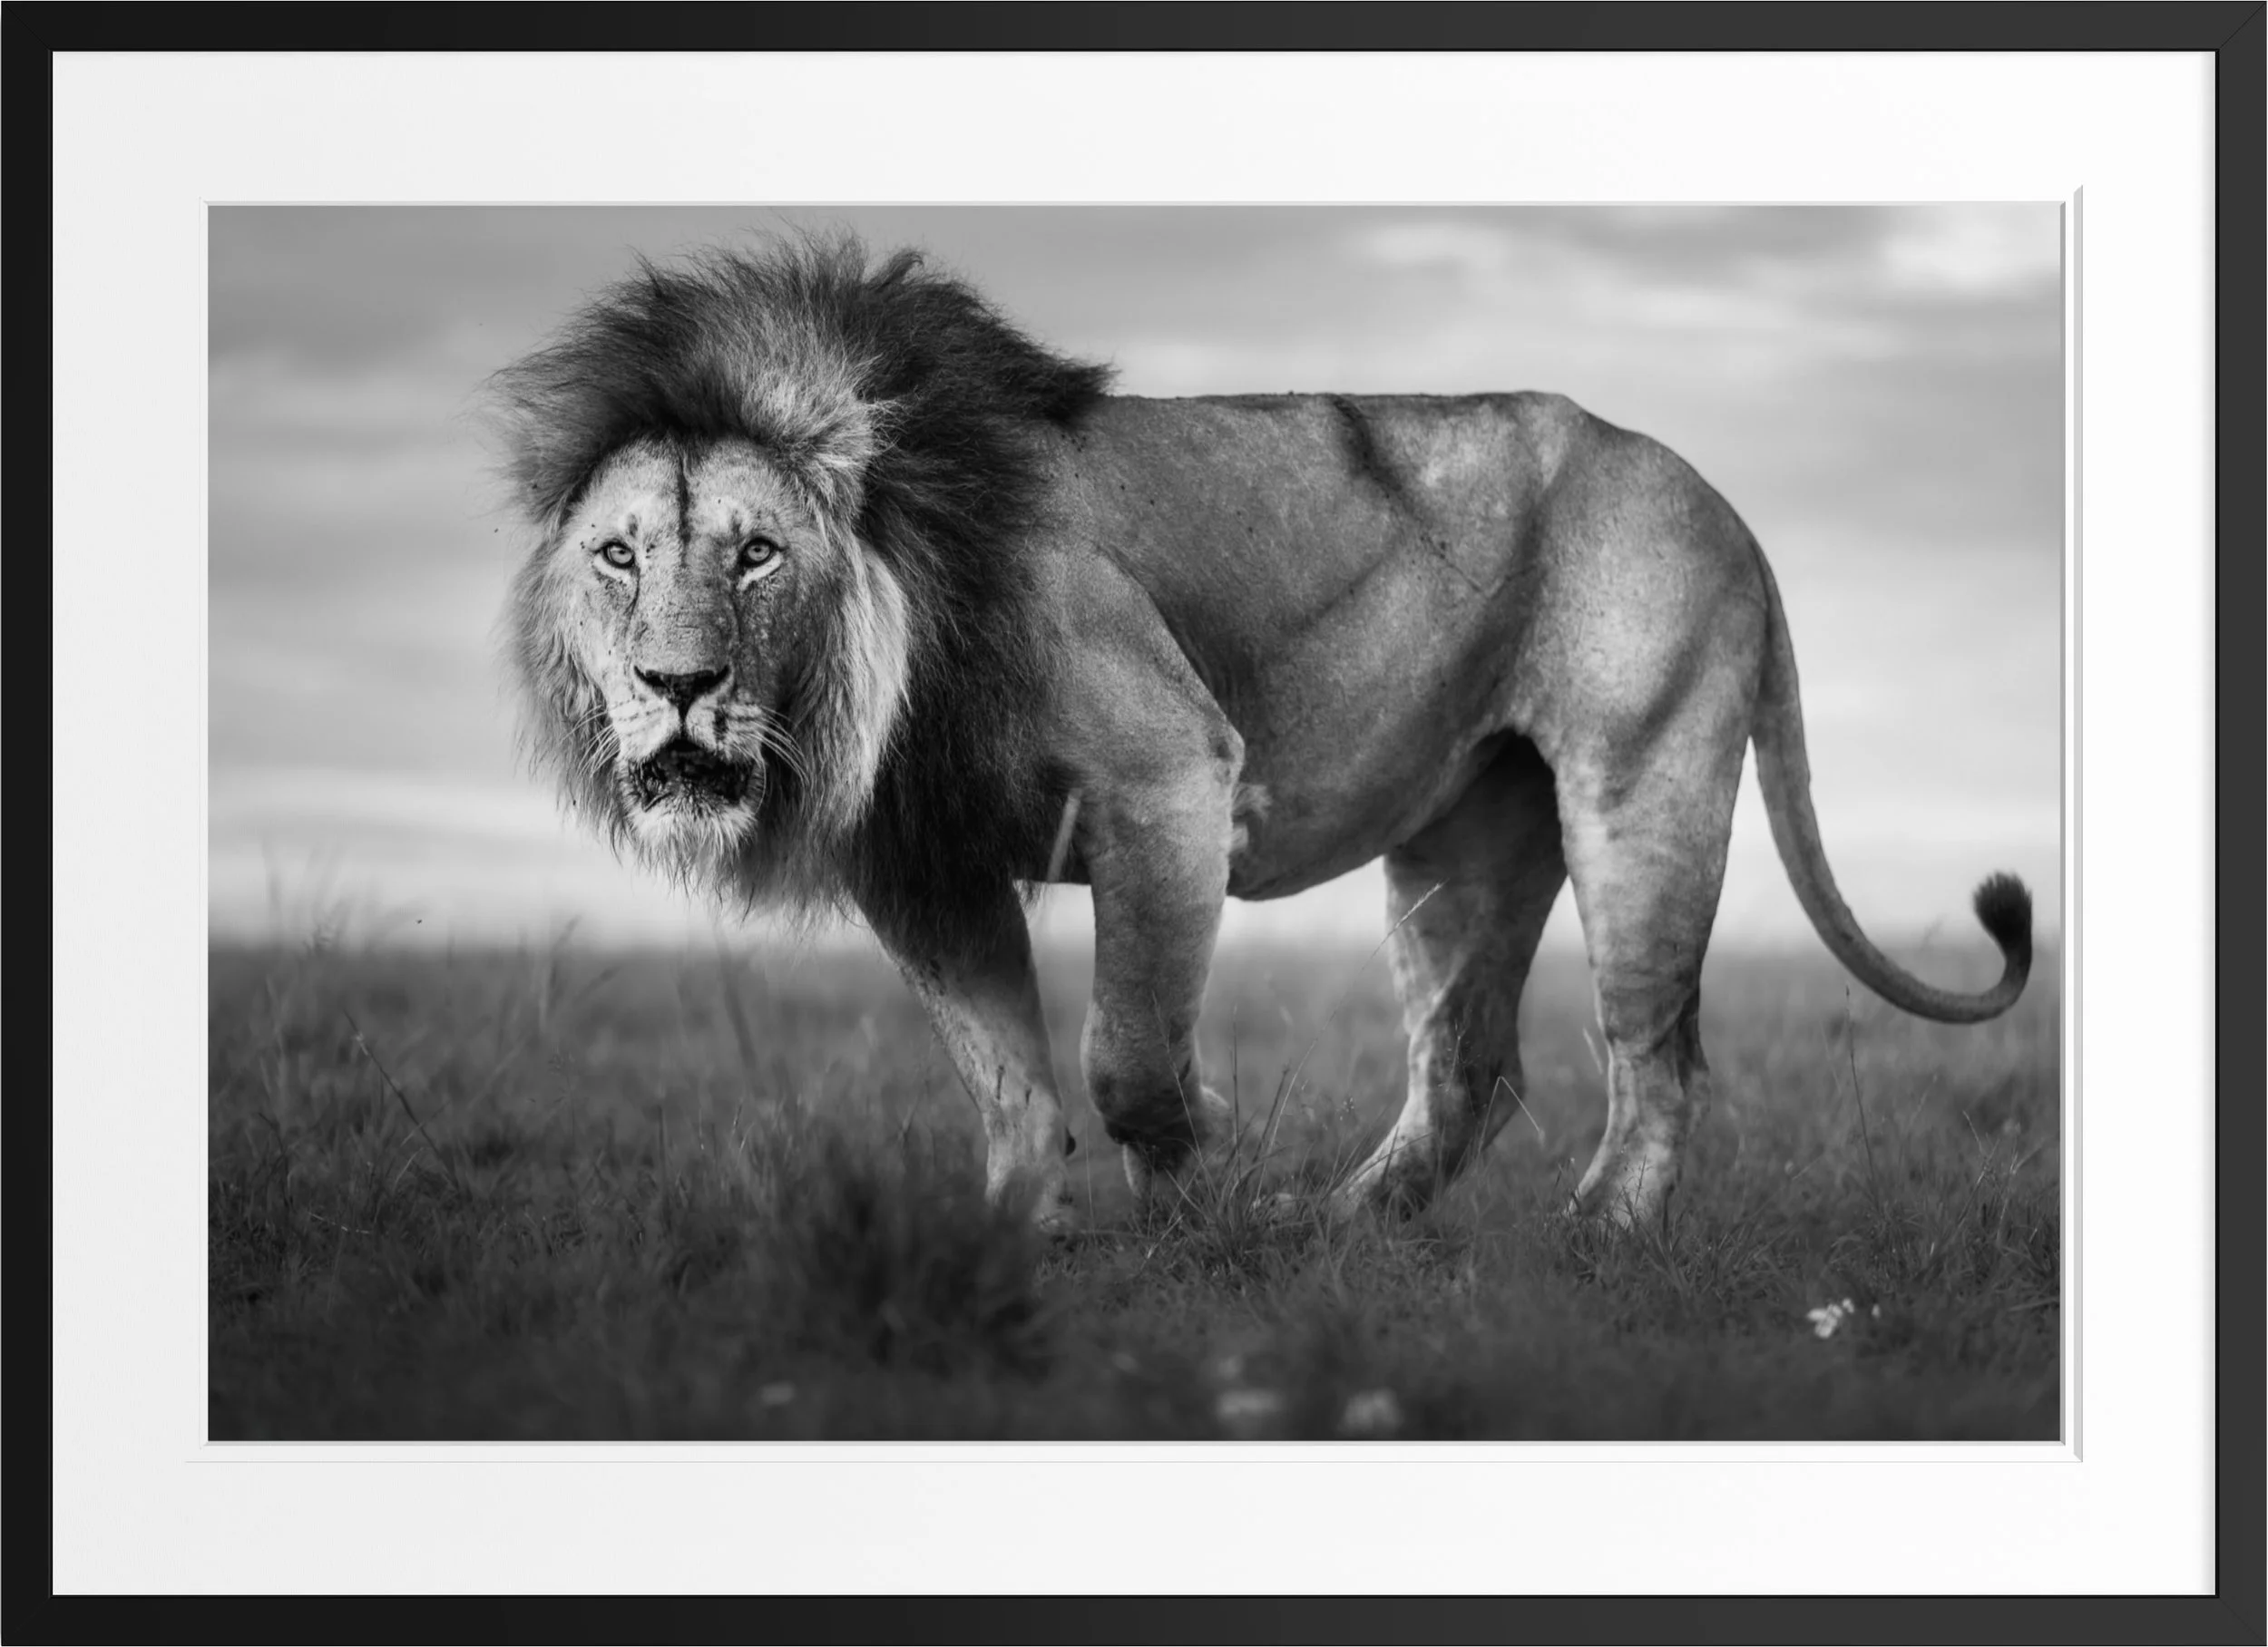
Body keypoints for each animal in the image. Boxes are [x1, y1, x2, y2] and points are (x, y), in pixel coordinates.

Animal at [489, 234, 2032, 1236]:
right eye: (620, 556)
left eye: (756, 554)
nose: (678, 683)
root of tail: (1722, 499)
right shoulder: (922, 862)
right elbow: (1005, 1075)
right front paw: (1014, 1239)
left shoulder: (1167, 779)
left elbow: (1122, 1052)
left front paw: (1207, 1205)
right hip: (1466, 846)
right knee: (1470, 1063)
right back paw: (1353, 1230)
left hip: (1640, 784)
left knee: (1655, 1051)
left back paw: (1599, 1240)